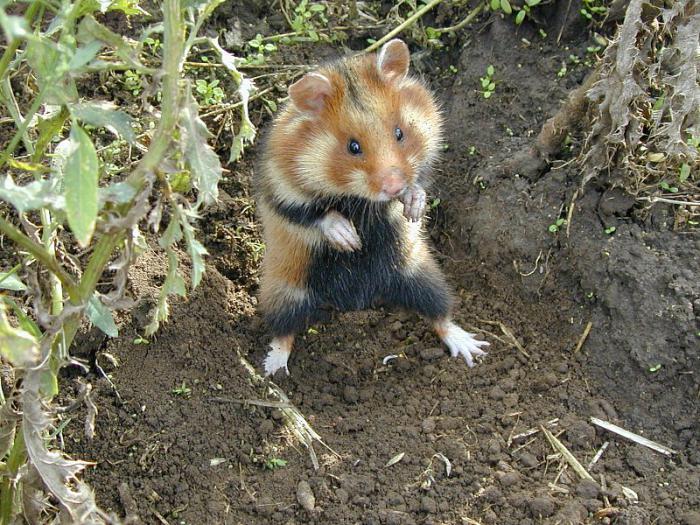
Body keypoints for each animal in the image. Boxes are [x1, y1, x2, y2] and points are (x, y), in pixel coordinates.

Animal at [254, 40, 490, 376]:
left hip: (420, 272)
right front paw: (351, 240)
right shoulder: (280, 189)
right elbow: (316, 214)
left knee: (440, 314)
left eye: (400, 133)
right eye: (353, 147)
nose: (393, 187)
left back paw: (473, 348)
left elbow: (420, 183)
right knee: (283, 331)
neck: (356, 197)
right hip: (285, 290)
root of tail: (358, 301)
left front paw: (413, 209)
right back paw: (271, 370)